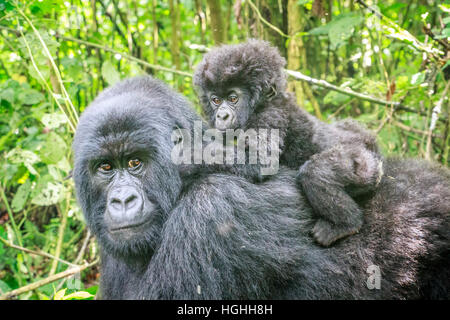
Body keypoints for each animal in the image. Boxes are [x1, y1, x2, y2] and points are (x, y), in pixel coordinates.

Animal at [193, 39, 384, 245]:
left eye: (233, 98)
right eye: (216, 100)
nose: (222, 116)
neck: (262, 104)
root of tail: (372, 147)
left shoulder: (270, 116)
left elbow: (260, 162)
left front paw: (190, 154)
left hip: (365, 165)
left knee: (315, 172)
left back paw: (345, 225)